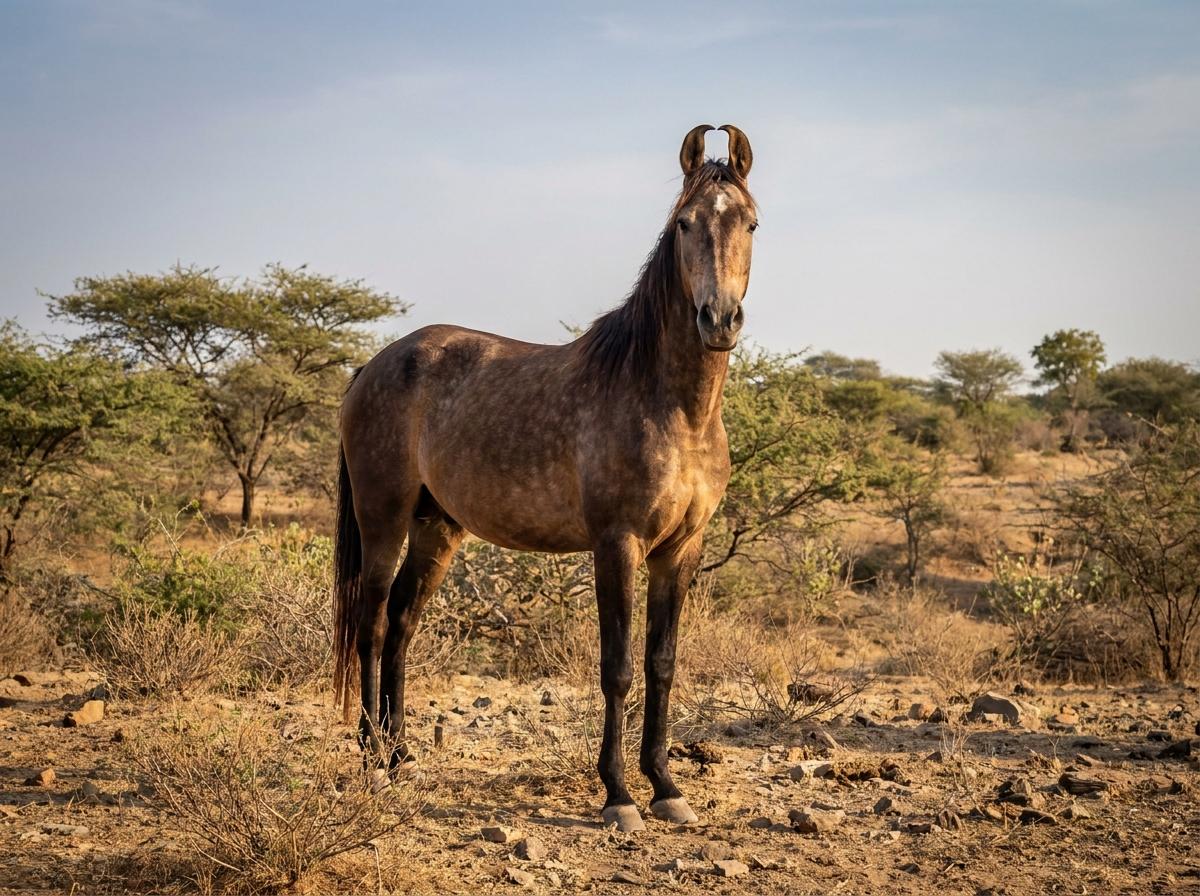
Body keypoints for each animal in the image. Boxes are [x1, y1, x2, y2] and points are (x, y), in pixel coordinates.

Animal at [333, 124, 757, 832]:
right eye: (684, 224)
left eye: (751, 222)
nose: (718, 320)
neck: (672, 404)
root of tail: (376, 363)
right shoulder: (617, 544)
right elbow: (617, 668)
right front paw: (618, 795)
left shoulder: (681, 549)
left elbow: (662, 664)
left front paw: (666, 787)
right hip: (383, 518)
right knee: (370, 623)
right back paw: (371, 759)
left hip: (437, 529)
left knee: (402, 625)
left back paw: (403, 755)